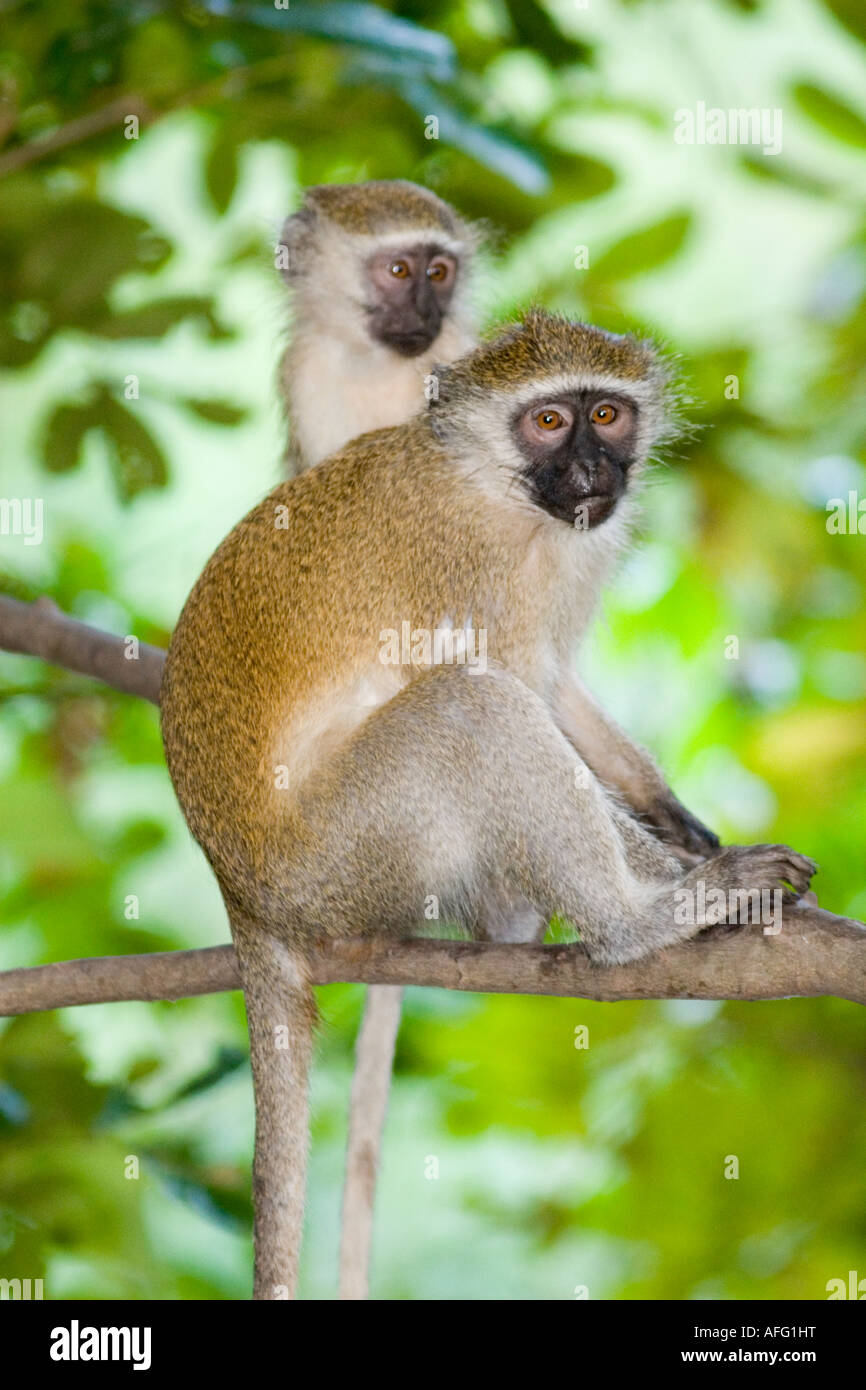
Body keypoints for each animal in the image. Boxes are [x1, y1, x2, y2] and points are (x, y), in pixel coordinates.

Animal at [160, 309, 817, 1299]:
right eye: (548, 423)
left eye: (607, 414)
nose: (590, 472)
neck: (499, 491)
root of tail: (241, 893)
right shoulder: (465, 564)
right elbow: (516, 687)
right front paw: (697, 879)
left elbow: (556, 687)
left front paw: (680, 825)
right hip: (345, 852)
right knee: (474, 704)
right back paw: (635, 924)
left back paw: (514, 922)